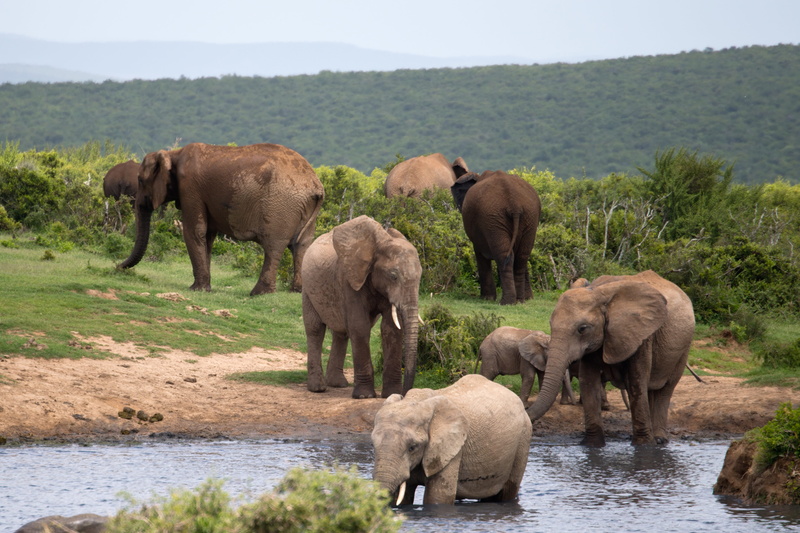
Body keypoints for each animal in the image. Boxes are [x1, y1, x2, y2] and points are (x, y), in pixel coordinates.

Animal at [117, 143, 324, 296]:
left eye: (141, 180)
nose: (117, 267)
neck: (172, 154)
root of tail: (316, 185)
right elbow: (207, 235)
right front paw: (205, 288)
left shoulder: (190, 188)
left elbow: (194, 231)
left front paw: (196, 290)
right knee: (301, 246)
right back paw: (297, 291)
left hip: (280, 206)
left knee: (273, 247)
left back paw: (258, 293)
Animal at [302, 215, 422, 399]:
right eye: (393, 276)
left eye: (420, 276)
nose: (404, 394)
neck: (378, 245)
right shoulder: (349, 279)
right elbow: (359, 326)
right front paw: (364, 396)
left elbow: (391, 329)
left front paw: (391, 394)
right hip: (307, 289)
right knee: (315, 330)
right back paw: (318, 388)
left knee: (342, 333)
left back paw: (338, 384)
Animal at [372, 374, 532, 505]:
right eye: (373, 445)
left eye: (412, 447)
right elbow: (405, 497)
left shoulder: (452, 449)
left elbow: (438, 498)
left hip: (524, 438)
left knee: (507, 491)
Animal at [451, 171, 541, 305]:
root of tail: (514, 204)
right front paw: (529, 298)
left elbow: (480, 255)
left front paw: (486, 298)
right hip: (528, 217)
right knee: (521, 257)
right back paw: (519, 301)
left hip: (493, 218)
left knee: (504, 256)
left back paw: (506, 302)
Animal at [526, 270, 695, 447]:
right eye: (550, 324)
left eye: (582, 329)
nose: (525, 412)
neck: (599, 293)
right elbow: (588, 382)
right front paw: (592, 444)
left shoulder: (642, 334)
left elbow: (636, 383)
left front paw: (643, 446)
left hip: (684, 346)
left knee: (665, 390)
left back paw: (659, 439)